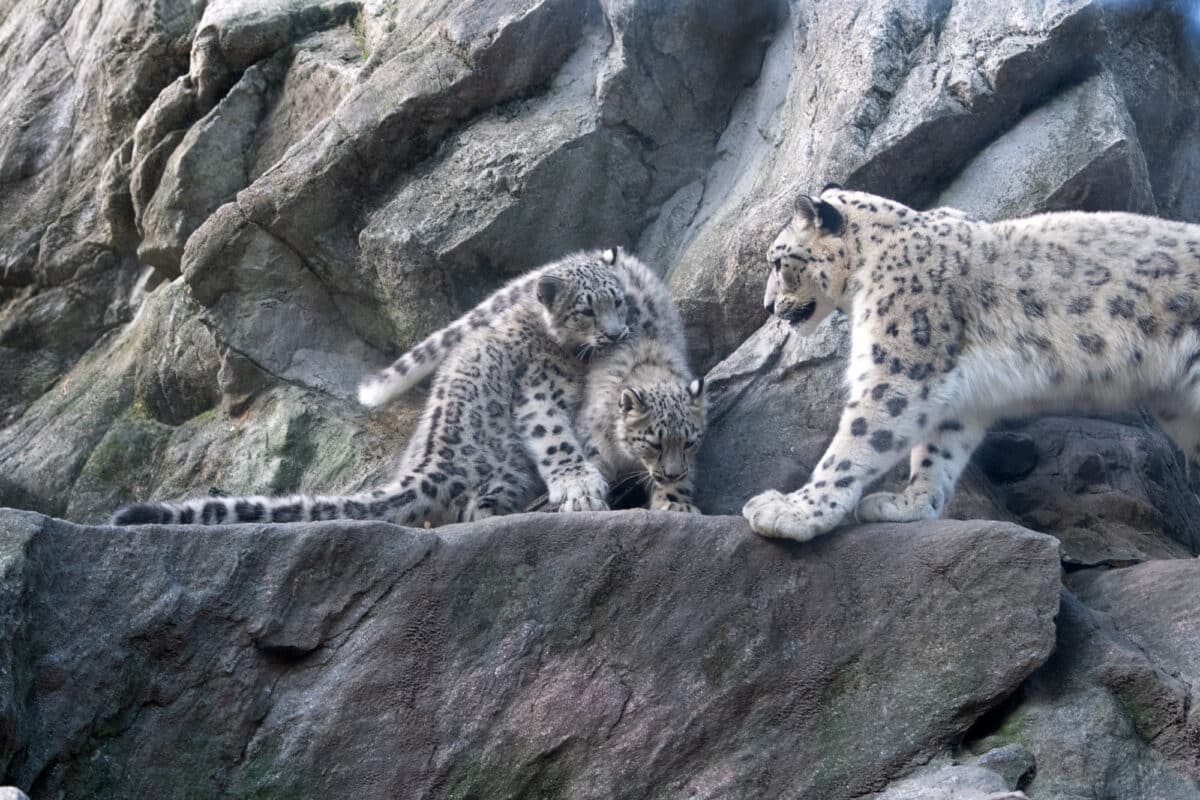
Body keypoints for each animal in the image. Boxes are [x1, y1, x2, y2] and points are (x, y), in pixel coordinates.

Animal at [111, 248, 628, 525]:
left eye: (620, 299)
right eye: (586, 309)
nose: (618, 333)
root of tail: (428, 467)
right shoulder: (540, 390)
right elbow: (555, 436)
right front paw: (581, 486)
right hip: (500, 467)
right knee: (475, 507)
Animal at [744, 185, 1200, 544]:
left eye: (777, 262)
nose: (767, 305)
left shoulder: (899, 367)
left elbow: (856, 440)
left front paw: (794, 511)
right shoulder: (957, 394)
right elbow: (937, 451)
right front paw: (909, 503)